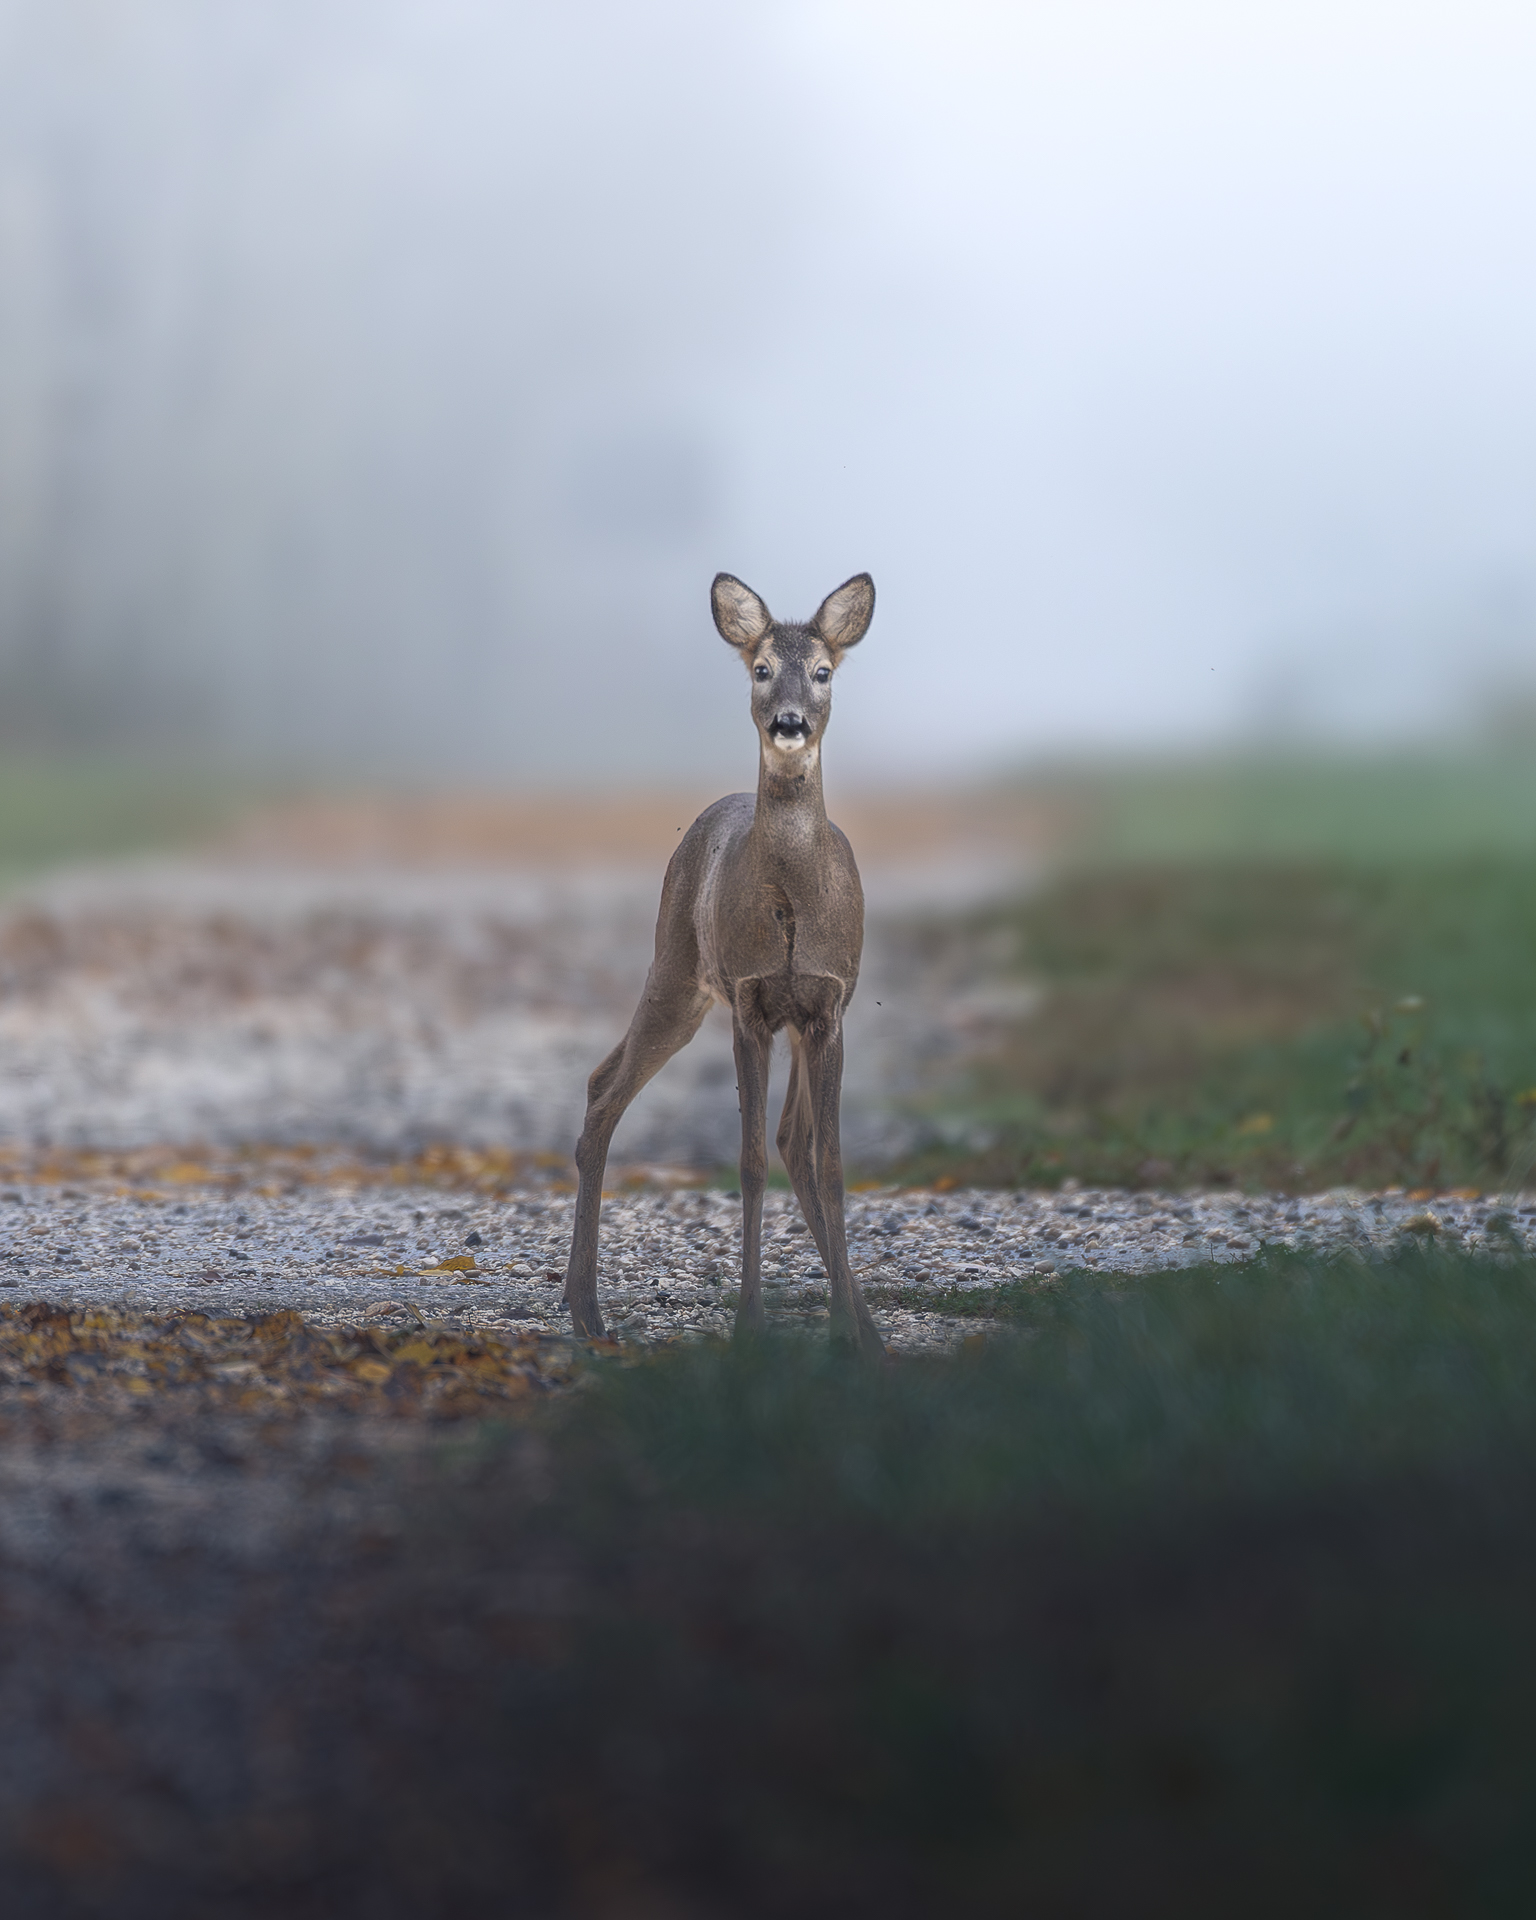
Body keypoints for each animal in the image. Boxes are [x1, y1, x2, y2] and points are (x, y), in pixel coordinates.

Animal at [562, 570, 886, 1360]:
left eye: (824, 671)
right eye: (761, 668)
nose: (790, 724)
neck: (794, 899)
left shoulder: (828, 1004)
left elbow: (832, 1163)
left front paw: (847, 1329)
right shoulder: (748, 999)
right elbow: (748, 1162)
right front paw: (750, 1324)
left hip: (764, 1010)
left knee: (795, 1137)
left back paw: (866, 1321)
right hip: (676, 964)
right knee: (603, 1088)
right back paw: (586, 1311)